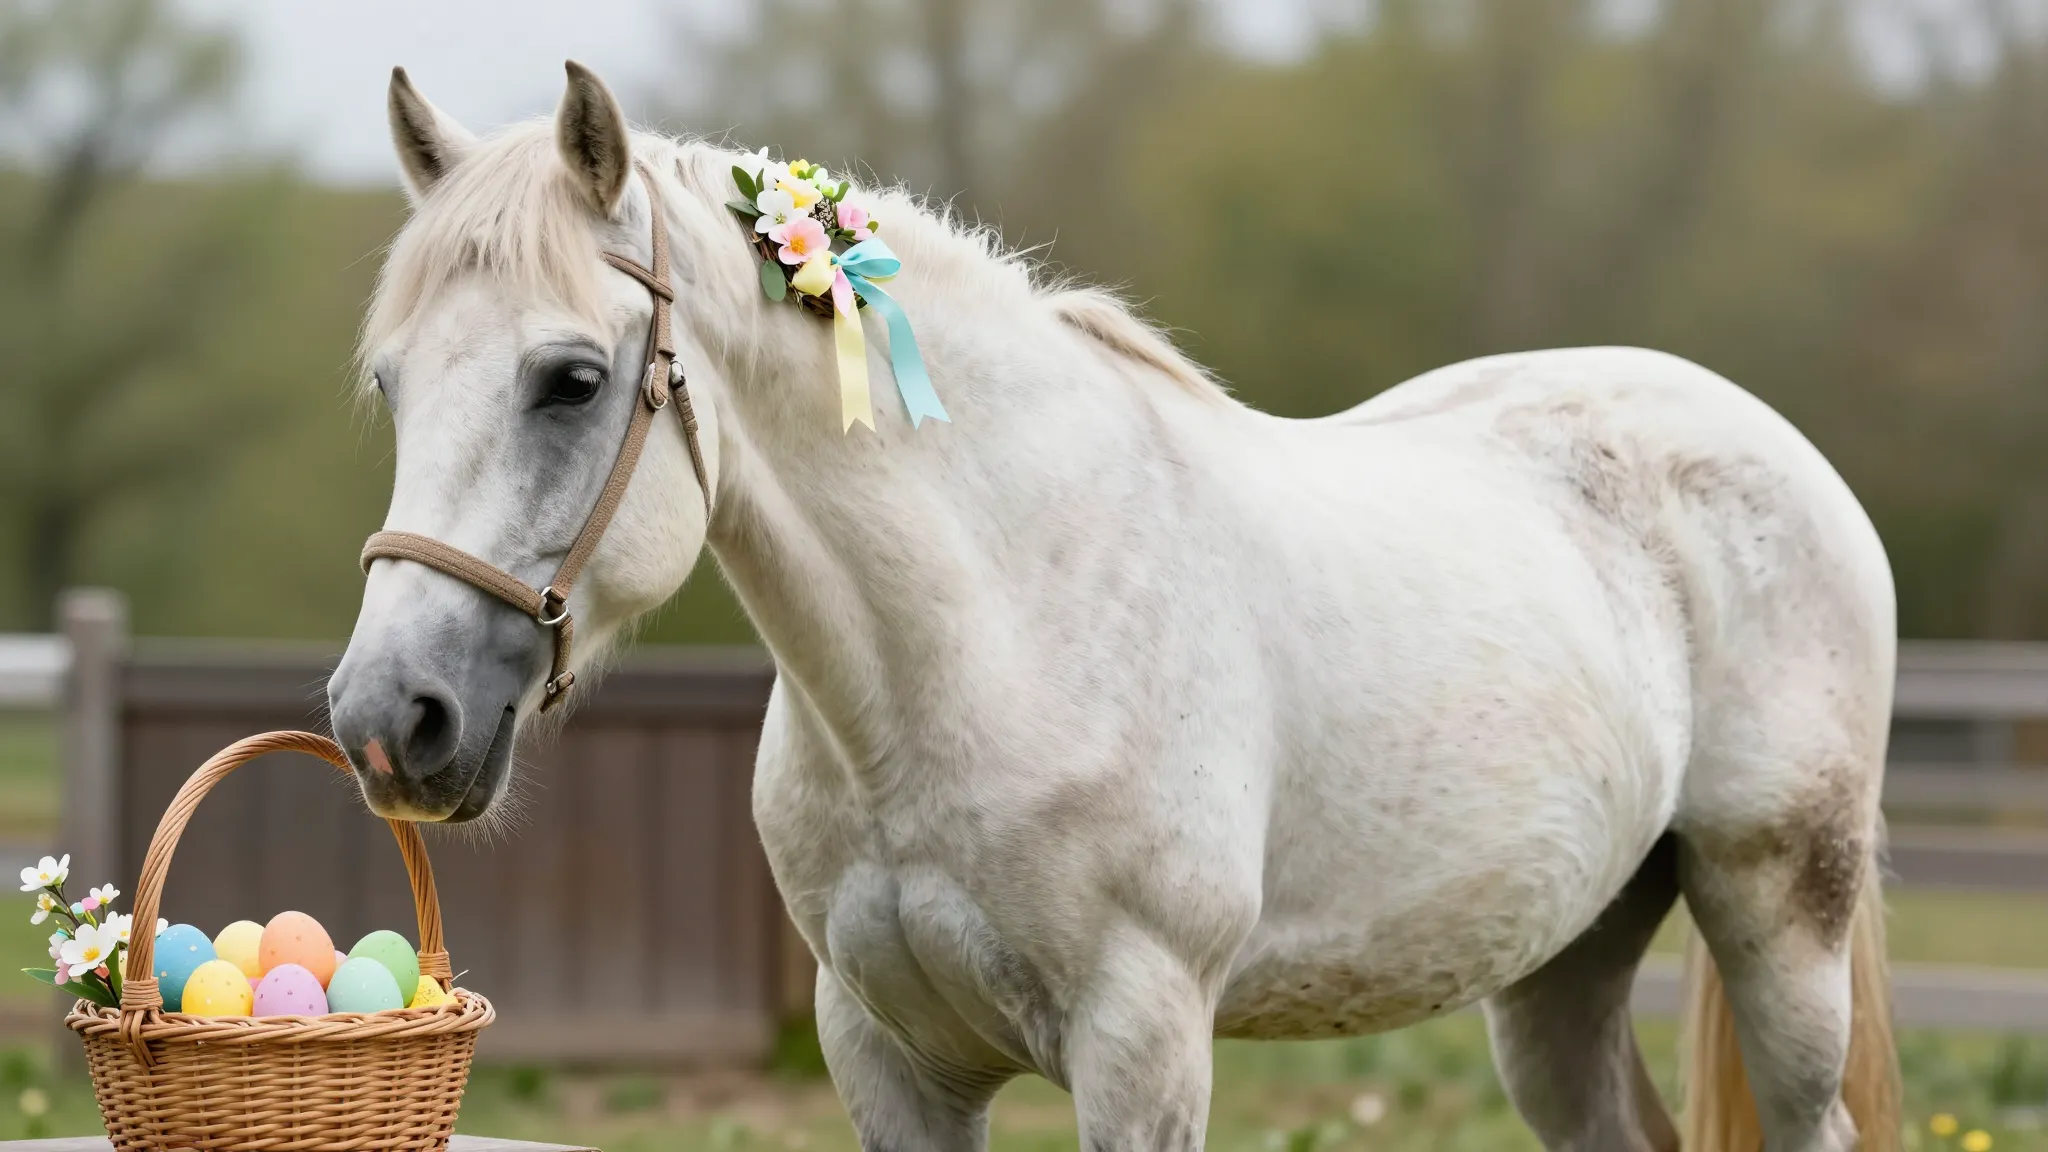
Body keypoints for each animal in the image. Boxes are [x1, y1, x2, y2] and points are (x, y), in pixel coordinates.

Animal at [327, 62, 1901, 1152]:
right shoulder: (886, 1057)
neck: (983, 644)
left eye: (571, 380)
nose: (391, 717)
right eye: (390, 384)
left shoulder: (1142, 1045)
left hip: (1777, 918)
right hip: (1565, 968)